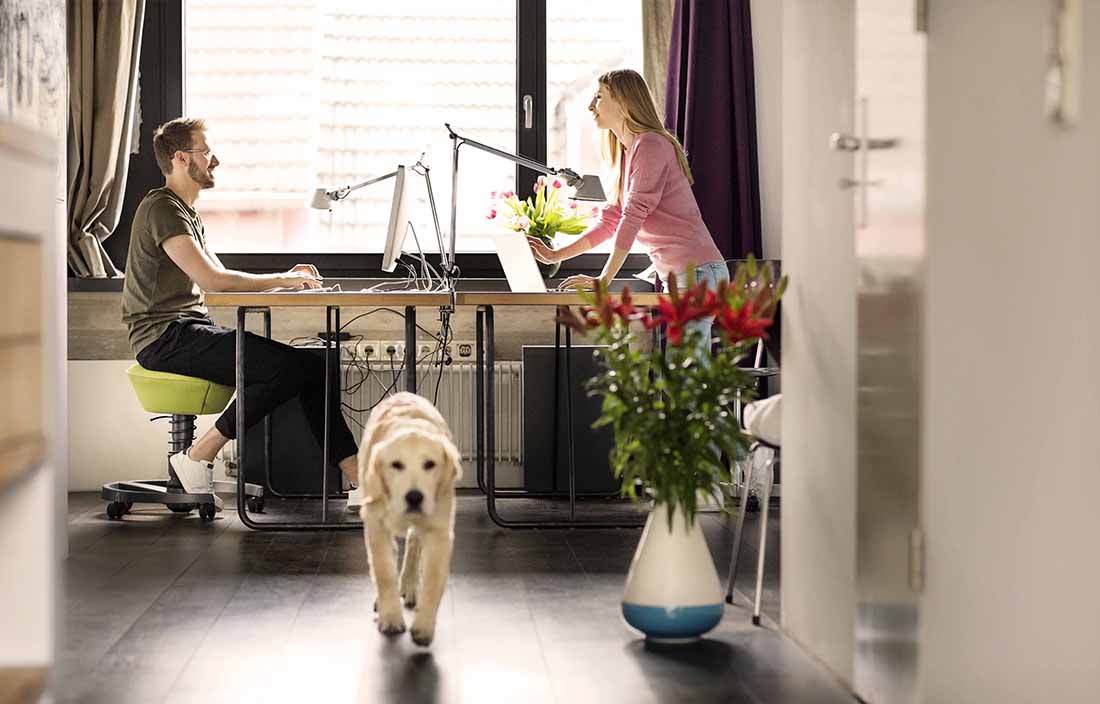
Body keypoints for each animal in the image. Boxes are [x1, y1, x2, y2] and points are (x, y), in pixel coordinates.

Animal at [358, 393, 462, 646]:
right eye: (396, 465)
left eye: (430, 464)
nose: (414, 497)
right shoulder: (375, 524)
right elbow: (384, 572)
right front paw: (390, 617)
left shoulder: (439, 530)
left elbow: (434, 579)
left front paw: (424, 625)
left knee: (414, 544)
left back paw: (410, 586)